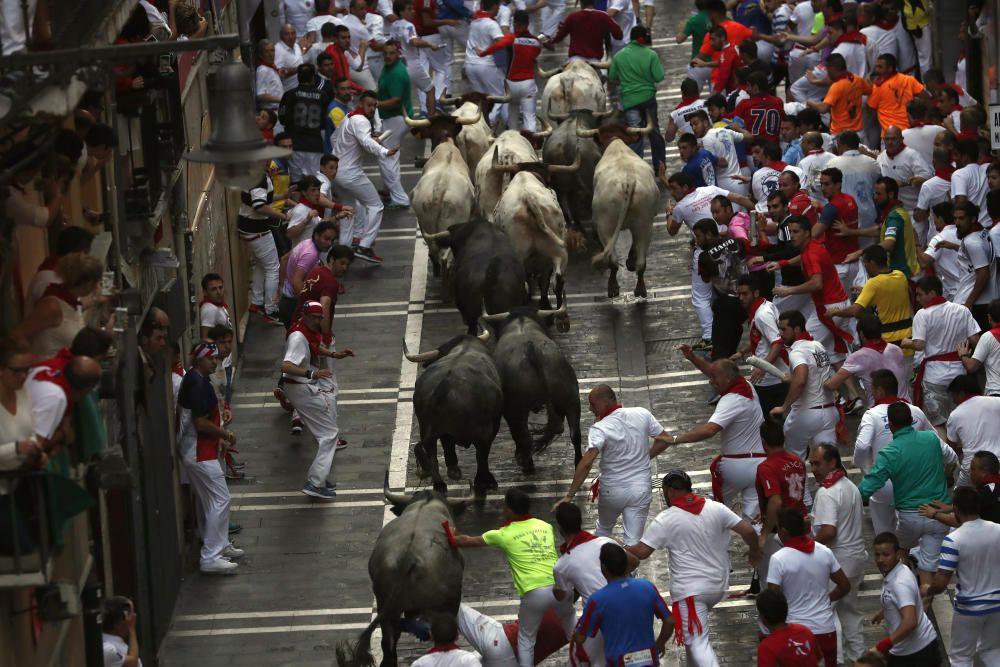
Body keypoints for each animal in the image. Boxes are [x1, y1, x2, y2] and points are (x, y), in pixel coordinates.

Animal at [584, 121, 660, 298]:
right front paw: (630, 261)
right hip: (644, 223)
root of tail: (628, 180)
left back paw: (613, 288)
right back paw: (640, 288)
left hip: (606, 226)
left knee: (612, 261)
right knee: (641, 261)